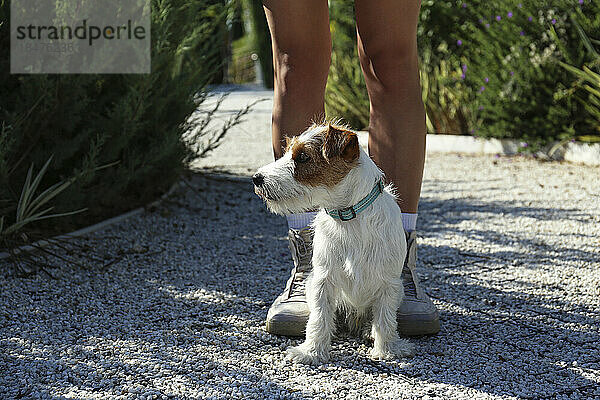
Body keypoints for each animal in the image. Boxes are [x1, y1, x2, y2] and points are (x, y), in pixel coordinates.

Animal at [254, 123, 418, 364]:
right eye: (287, 152)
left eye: (302, 156)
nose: (256, 178)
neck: (348, 218)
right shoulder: (323, 281)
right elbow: (319, 318)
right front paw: (311, 352)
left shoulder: (389, 285)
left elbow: (385, 319)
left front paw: (387, 349)